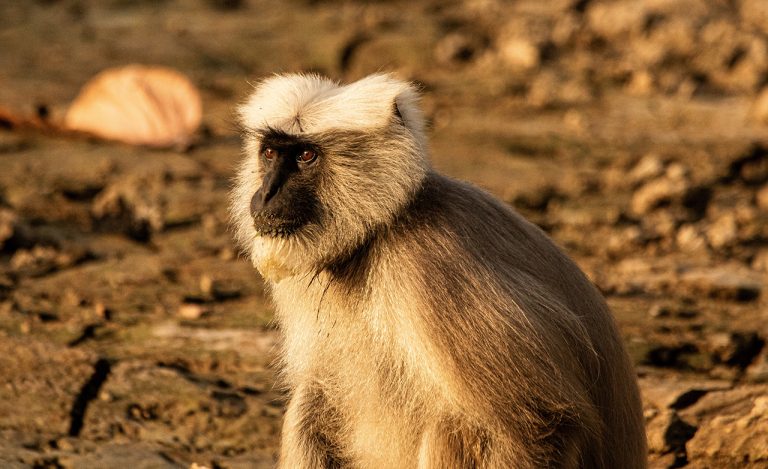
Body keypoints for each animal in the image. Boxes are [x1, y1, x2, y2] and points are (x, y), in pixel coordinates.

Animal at [230, 73, 647, 468]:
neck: (378, 233)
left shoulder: (429, 264)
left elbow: (539, 422)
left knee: (454, 425)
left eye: (305, 155)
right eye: (270, 153)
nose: (266, 194)